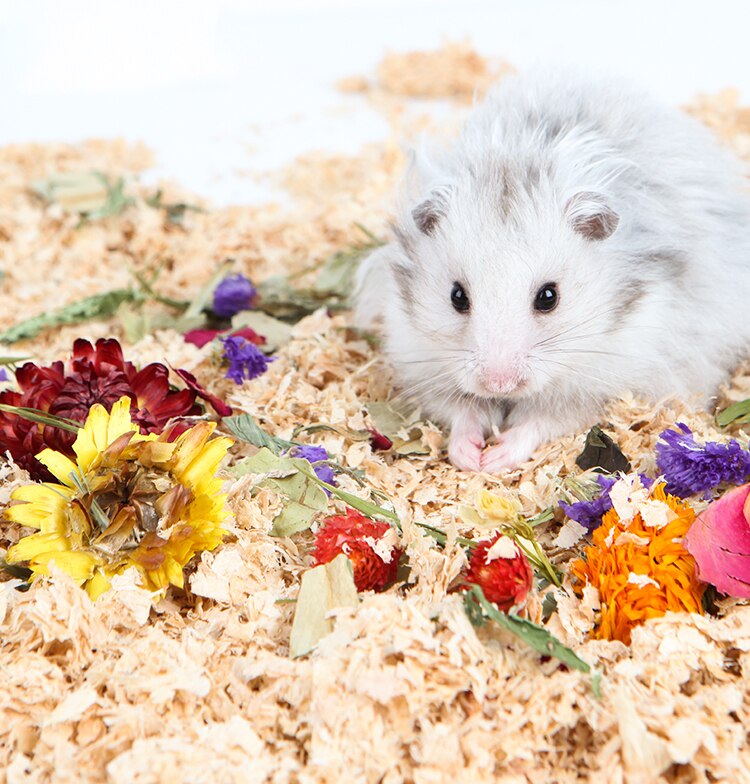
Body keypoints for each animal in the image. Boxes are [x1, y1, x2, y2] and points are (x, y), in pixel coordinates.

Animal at [354, 70, 750, 472]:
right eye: (457, 297)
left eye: (549, 297)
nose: (499, 385)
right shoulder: (422, 359)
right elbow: (463, 411)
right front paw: (470, 457)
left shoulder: (605, 384)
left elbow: (541, 421)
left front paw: (495, 459)